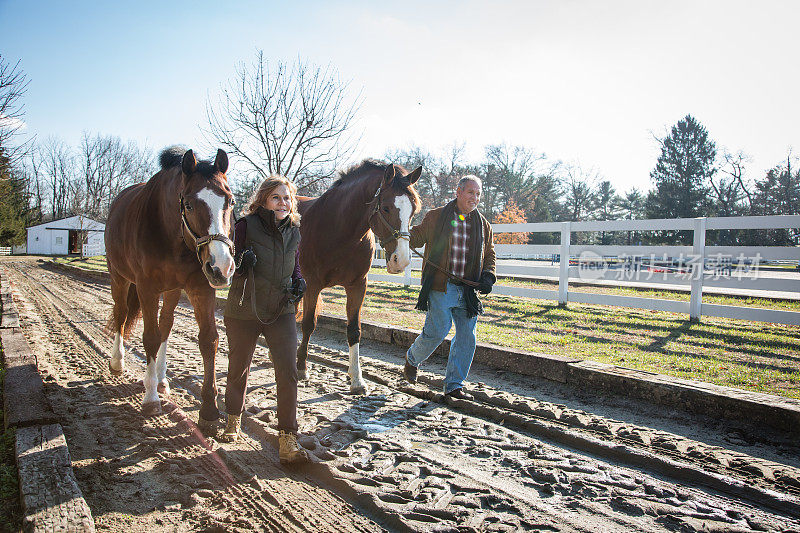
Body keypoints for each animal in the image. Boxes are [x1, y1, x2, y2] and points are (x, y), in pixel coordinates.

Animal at [104, 147, 234, 428]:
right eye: (189, 204)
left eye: (229, 201)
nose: (222, 266)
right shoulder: (146, 288)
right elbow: (150, 337)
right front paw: (150, 398)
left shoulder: (201, 288)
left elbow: (208, 339)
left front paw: (209, 410)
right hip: (118, 277)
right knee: (121, 314)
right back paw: (118, 362)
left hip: (173, 289)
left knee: (165, 323)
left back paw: (163, 379)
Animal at [294, 160, 418, 392]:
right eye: (386, 207)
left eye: (414, 210)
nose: (402, 260)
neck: (338, 230)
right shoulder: (312, 285)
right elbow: (308, 324)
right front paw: (301, 368)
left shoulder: (358, 285)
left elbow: (354, 330)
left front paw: (357, 379)